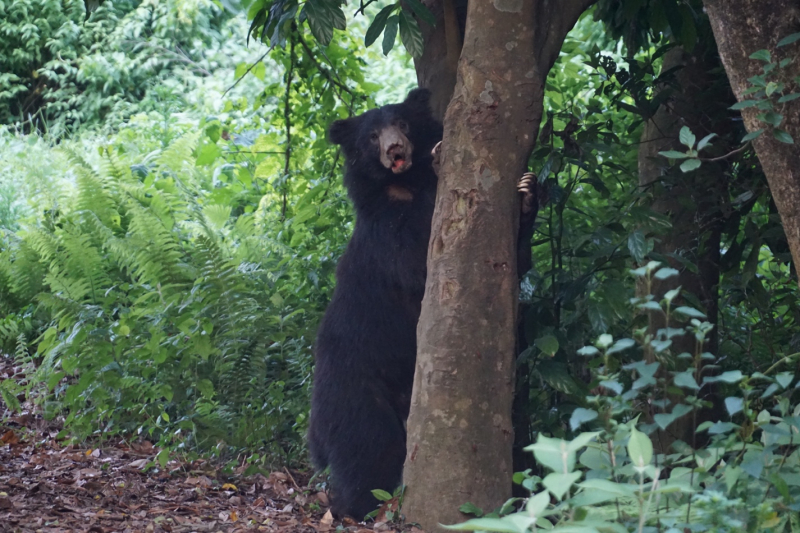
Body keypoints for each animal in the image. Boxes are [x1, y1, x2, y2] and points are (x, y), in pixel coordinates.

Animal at [308, 88, 444, 520]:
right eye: (371, 136)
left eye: (401, 123)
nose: (395, 149)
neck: (400, 184)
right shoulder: (387, 233)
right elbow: (418, 256)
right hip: (358, 397)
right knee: (371, 451)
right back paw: (357, 508)